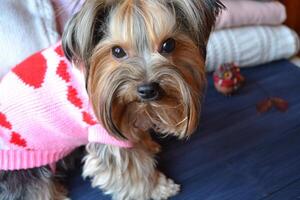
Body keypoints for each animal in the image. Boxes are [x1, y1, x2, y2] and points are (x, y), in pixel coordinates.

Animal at [0, 0, 220, 199]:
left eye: (168, 44)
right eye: (117, 51)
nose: (147, 90)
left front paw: (147, 144)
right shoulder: (109, 135)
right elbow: (129, 172)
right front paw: (158, 188)